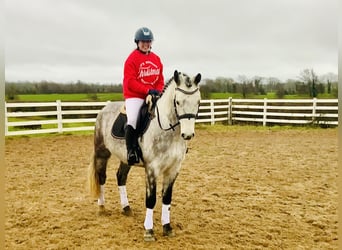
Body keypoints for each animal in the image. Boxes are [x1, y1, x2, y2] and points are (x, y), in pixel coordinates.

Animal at [87, 69, 202, 241]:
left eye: (198, 102)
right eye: (178, 102)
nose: (187, 134)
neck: (167, 130)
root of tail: (104, 109)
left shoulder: (173, 169)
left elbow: (167, 198)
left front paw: (167, 227)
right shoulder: (152, 169)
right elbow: (151, 199)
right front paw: (149, 231)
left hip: (126, 159)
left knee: (121, 177)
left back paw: (126, 208)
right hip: (102, 153)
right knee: (102, 177)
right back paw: (101, 208)